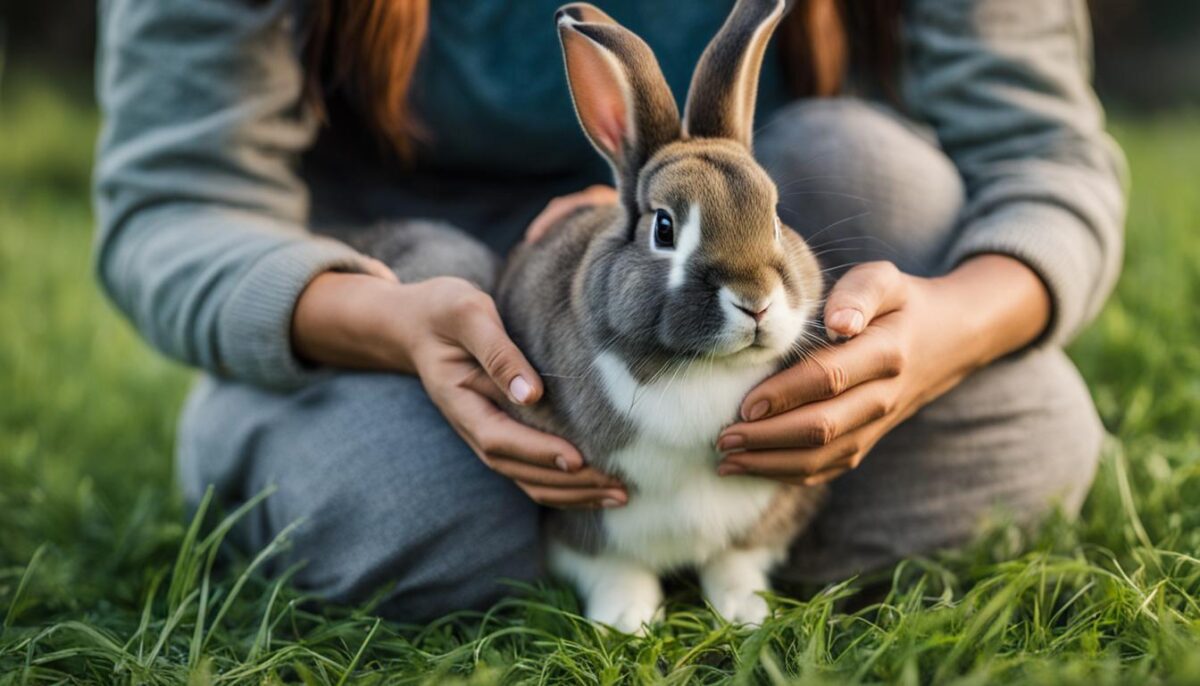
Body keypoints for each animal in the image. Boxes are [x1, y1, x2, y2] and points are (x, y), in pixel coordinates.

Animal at [493, 0, 826, 633]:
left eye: (775, 218)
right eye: (665, 228)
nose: (755, 300)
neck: (701, 368)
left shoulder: (765, 512)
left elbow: (735, 562)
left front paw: (747, 615)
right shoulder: (586, 519)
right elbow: (612, 568)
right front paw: (625, 622)